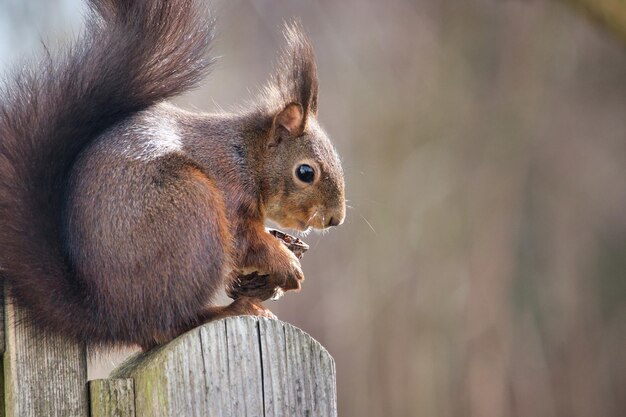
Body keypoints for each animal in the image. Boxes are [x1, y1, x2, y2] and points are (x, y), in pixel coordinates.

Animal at [0, 0, 344, 350]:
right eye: (305, 172)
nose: (335, 219)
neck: (247, 154)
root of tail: (110, 315)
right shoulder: (229, 189)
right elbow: (246, 240)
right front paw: (287, 262)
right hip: (193, 215)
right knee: (169, 324)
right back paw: (231, 310)